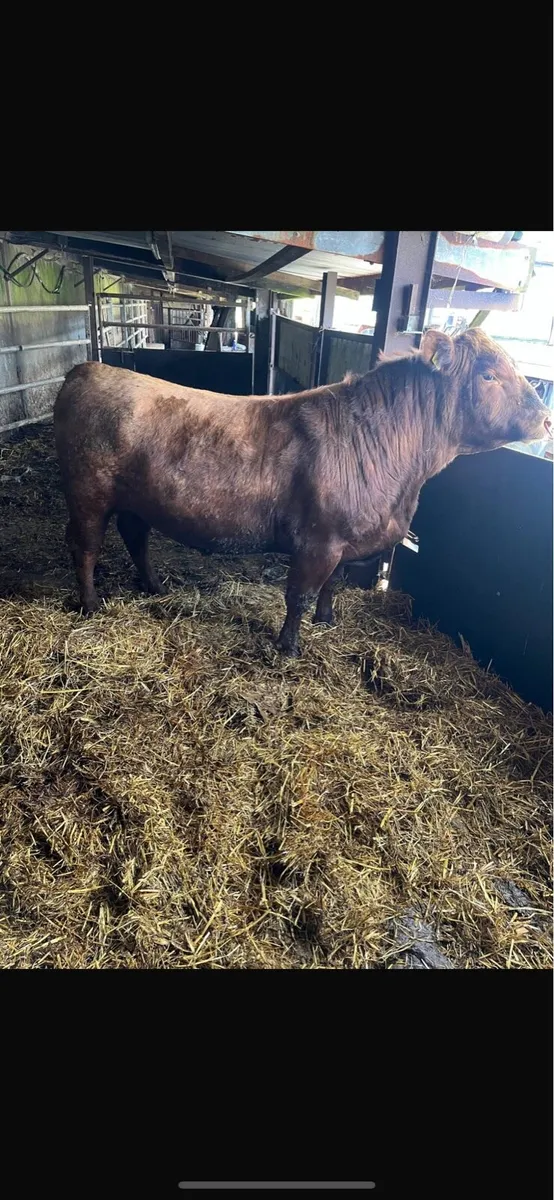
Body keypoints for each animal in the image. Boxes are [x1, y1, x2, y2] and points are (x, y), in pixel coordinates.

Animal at [54, 328, 552, 657]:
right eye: (488, 375)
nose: (546, 418)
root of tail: (88, 368)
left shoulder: (344, 541)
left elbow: (331, 585)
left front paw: (327, 620)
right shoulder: (318, 540)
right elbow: (299, 595)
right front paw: (289, 647)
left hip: (135, 498)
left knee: (136, 537)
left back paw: (155, 586)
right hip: (88, 493)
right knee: (85, 547)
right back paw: (91, 604)